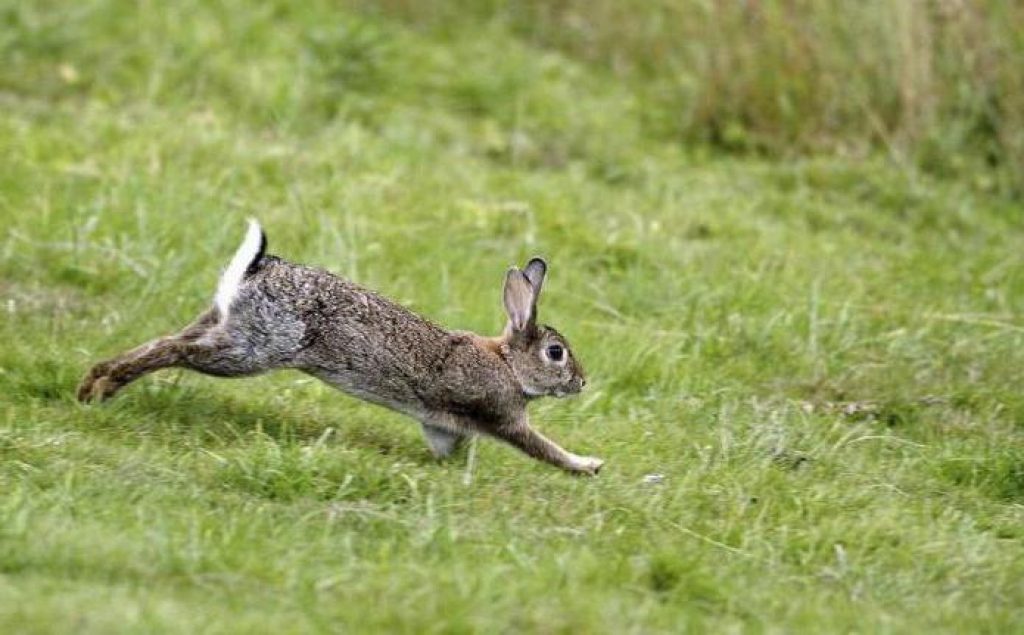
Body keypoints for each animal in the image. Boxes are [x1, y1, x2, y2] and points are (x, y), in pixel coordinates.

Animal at [81, 221, 606, 473]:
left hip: (224, 324)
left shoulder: (441, 425)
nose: (582, 382)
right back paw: (105, 386)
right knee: (175, 351)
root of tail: (258, 267)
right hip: (252, 349)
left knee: (168, 340)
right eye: (556, 353)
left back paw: (93, 384)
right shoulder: (504, 416)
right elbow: (542, 447)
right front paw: (588, 466)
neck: (508, 363)